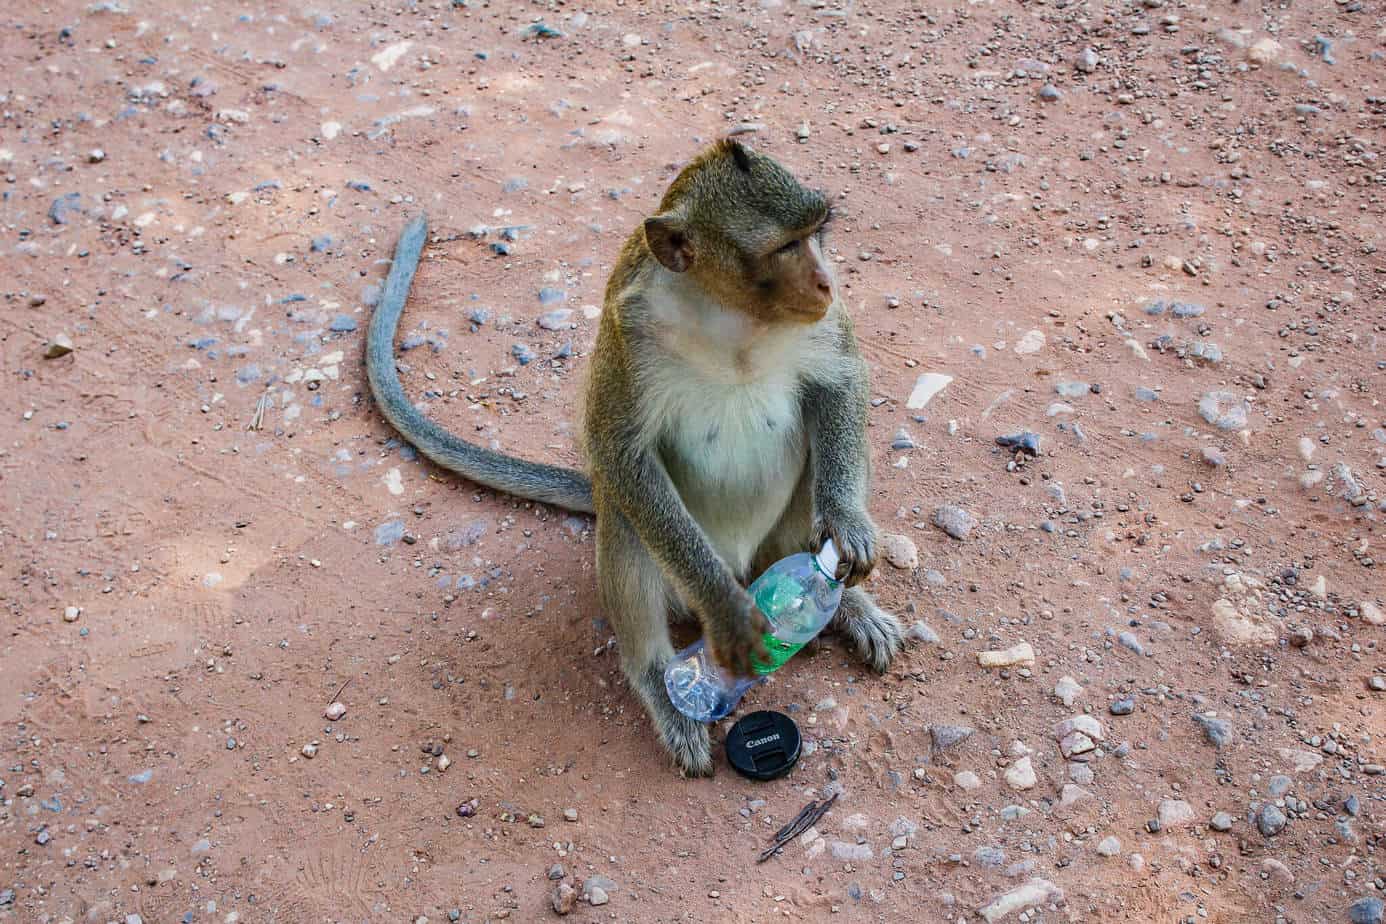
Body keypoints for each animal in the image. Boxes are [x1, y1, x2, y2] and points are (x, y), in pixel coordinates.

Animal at [367, 139, 903, 776]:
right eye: (784, 247)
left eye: (818, 232)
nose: (824, 284)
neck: (732, 319)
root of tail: (749, 563)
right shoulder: (628, 331)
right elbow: (619, 452)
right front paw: (725, 610)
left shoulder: (824, 327)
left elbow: (840, 386)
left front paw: (847, 526)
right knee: (624, 513)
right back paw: (663, 681)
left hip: (775, 541)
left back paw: (843, 599)